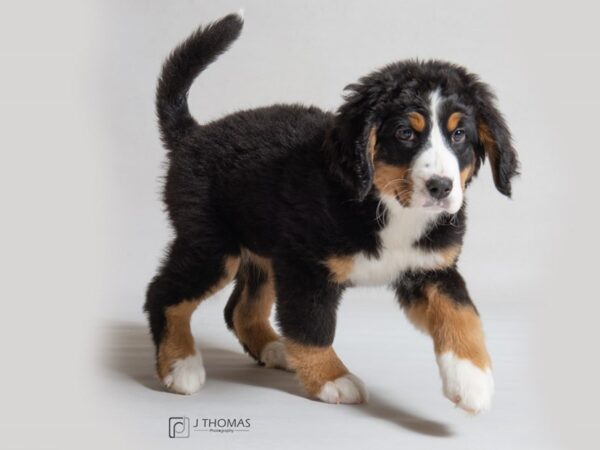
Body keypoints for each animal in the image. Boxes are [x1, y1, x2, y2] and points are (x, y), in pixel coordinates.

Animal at [145, 12, 520, 414]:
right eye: (405, 133)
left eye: (460, 135)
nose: (440, 187)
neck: (387, 208)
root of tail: (193, 134)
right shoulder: (306, 269)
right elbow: (313, 328)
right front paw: (332, 378)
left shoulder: (430, 268)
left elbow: (461, 312)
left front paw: (472, 378)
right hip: (212, 247)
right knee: (163, 293)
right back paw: (180, 364)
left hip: (262, 250)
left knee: (241, 309)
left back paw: (273, 348)